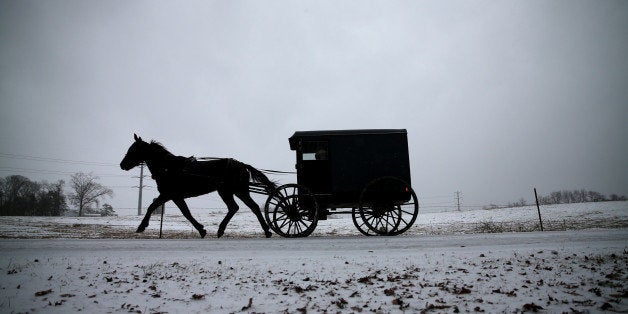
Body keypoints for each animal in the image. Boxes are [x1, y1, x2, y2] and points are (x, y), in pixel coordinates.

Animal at [119, 134, 276, 239]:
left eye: (133, 149)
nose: (122, 165)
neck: (169, 168)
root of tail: (242, 165)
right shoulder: (174, 196)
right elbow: (185, 212)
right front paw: (201, 229)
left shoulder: (169, 194)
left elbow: (154, 207)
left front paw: (141, 226)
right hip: (230, 191)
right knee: (240, 207)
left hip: (236, 190)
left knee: (247, 207)